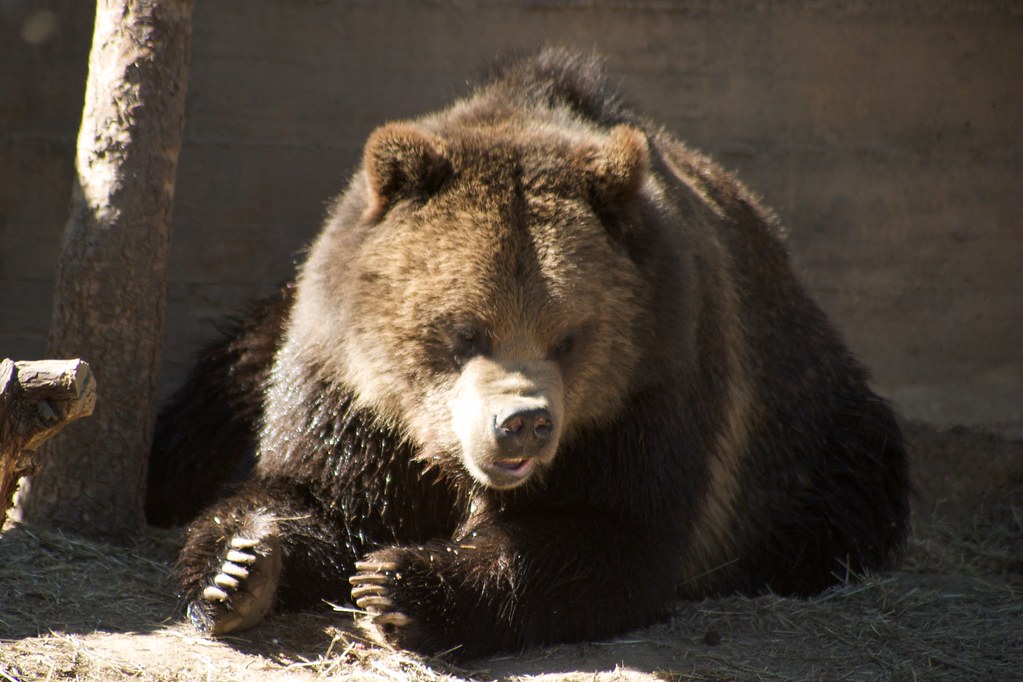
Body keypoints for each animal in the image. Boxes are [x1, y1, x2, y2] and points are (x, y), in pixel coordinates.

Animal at [147, 48, 910, 660]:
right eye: (463, 331)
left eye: (568, 335)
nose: (521, 424)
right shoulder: (349, 388)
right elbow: (316, 495)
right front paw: (239, 568)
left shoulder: (653, 388)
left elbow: (607, 538)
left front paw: (401, 585)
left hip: (808, 434)